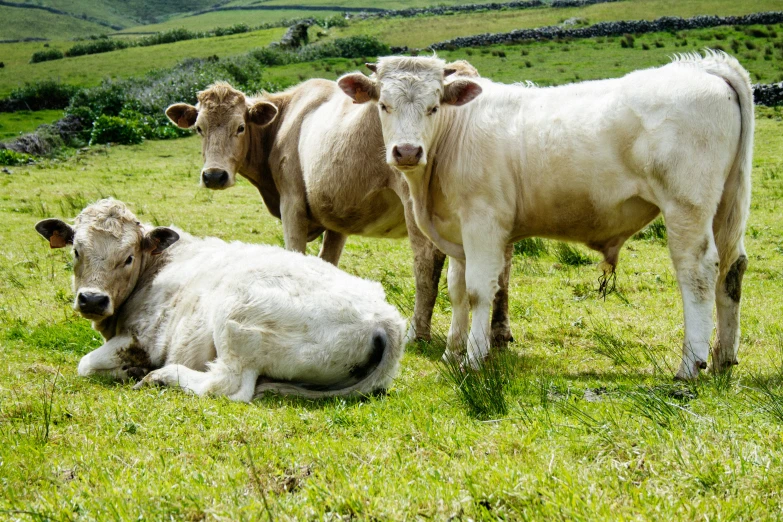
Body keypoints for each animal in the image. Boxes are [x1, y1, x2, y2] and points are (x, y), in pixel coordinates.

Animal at [34, 198, 408, 398]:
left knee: (227, 385)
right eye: (77, 251)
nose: (92, 299)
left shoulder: (142, 339)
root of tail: (386, 319)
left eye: (127, 258)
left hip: (237, 318)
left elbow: (85, 364)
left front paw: (129, 369)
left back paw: (161, 376)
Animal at [165, 67, 516, 348]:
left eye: (239, 127)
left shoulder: (292, 204)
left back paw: (418, 333)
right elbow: (326, 263)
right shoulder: (336, 219)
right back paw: (500, 333)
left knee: (426, 264)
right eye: (199, 128)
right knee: (503, 265)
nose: (214, 175)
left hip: (416, 204)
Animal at [340, 51, 756, 378]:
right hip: (726, 206)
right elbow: (456, 291)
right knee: (731, 269)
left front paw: (473, 358)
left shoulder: (482, 223)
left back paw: (690, 366)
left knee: (698, 273)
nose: (407, 152)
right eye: (383, 105)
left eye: (433, 107)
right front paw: (451, 352)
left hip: (686, 206)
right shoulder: (457, 230)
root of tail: (701, 67)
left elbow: (477, 291)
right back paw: (723, 358)